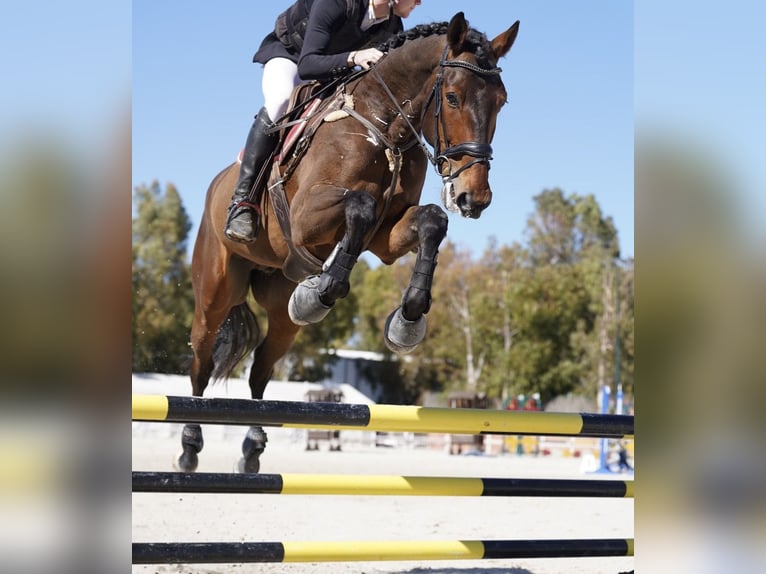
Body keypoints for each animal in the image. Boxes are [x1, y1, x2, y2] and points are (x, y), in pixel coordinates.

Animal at [176, 12, 520, 473]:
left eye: (500, 101)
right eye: (451, 97)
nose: (474, 197)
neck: (386, 125)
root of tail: (217, 184)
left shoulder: (387, 235)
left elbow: (431, 220)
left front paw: (406, 319)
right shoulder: (305, 218)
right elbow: (360, 205)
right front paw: (325, 289)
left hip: (280, 311)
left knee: (261, 369)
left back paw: (252, 447)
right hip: (215, 291)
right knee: (201, 360)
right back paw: (190, 446)